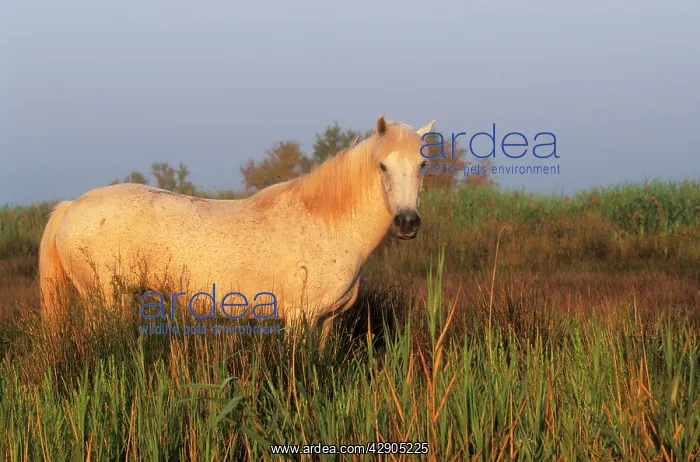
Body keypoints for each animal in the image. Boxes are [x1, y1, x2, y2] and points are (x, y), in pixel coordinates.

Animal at [38, 114, 435, 343]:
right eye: (383, 166)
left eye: (422, 165)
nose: (407, 222)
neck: (326, 223)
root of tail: (71, 207)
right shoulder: (299, 317)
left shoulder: (327, 320)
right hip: (105, 301)